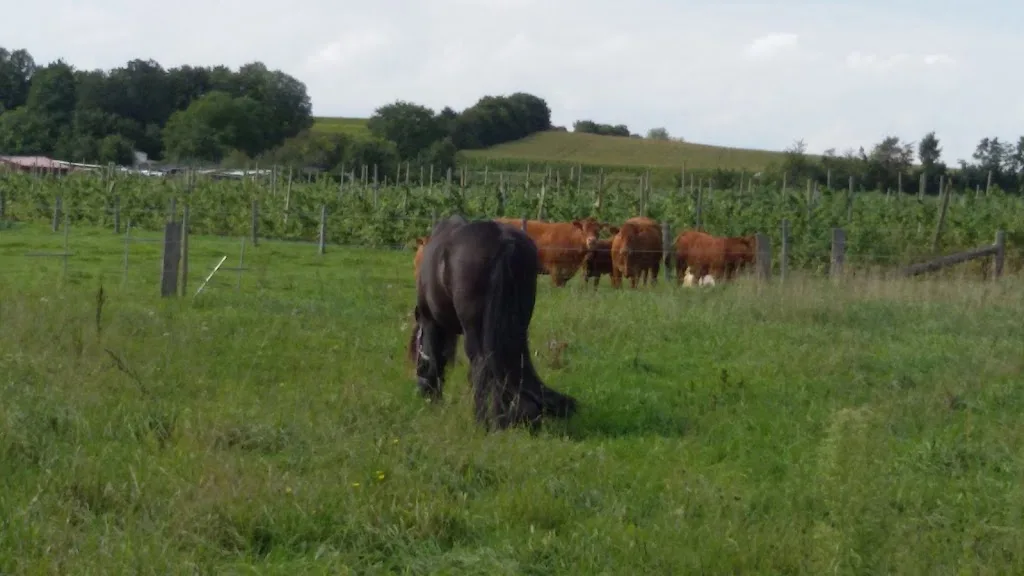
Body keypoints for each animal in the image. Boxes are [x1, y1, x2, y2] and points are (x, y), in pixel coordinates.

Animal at [411, 214, 578, 431]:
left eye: (415, 352)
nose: (422, 393)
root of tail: (503, 241)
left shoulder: (431, 321)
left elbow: (438, 357)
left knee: (482, 365)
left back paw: (484, 419)